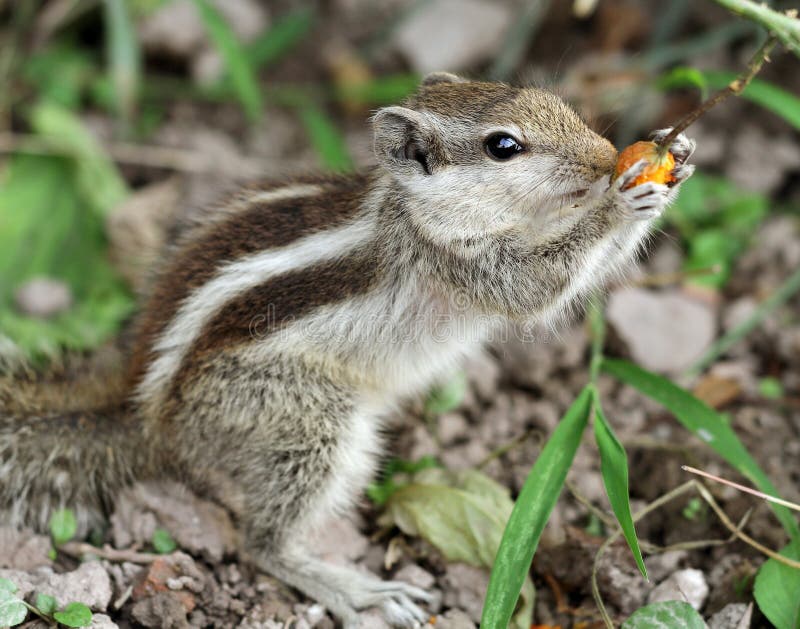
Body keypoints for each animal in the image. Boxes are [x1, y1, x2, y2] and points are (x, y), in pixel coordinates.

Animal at [0, 72, 695, 628]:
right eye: (504, 146)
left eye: (553, 100)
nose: (604, 157)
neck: (410, 209)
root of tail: (145, 414)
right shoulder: (460, 263)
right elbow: (540, 288)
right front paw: (621, 199)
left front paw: (676, 153)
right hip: (304, 419)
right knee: (262, 542)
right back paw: (351, 588)